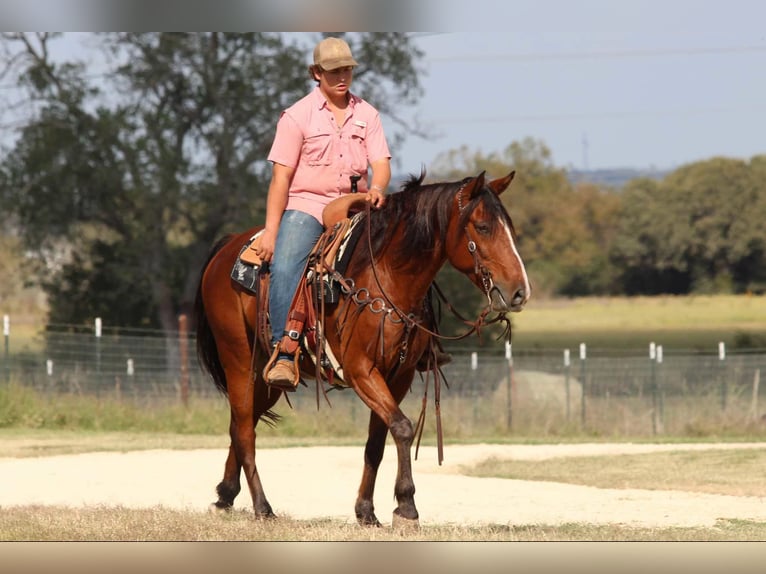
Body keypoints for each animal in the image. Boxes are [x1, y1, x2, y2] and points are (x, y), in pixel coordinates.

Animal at [193, 169, 530, 528]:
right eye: (482, 227)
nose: (520, 292)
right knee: (244, 430)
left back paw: (225, 495)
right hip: (238, 361)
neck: (387, 274)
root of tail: (227, 247)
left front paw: (367, 511)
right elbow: (403, 428)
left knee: (241, 422)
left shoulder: (398, 376)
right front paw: (406, 507)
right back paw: (262, 507)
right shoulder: (360, 370)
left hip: (268, 376)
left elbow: (377, 442)